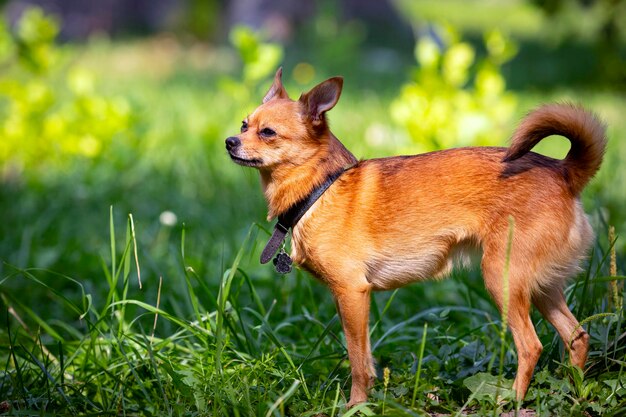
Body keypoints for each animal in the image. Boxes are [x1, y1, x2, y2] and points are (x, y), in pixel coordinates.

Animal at [224, 68, 604, 406]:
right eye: (244, 125)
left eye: (268, 132)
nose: (229, 141)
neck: (320, 188)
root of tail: (564, 171)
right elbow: (363, 355)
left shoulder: (352, 293)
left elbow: (358, 360)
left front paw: (356, 405)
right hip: (541, 288)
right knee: (577, 336)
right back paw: (574, 394)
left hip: (503, 279)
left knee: (530, 346)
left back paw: (511, 401)